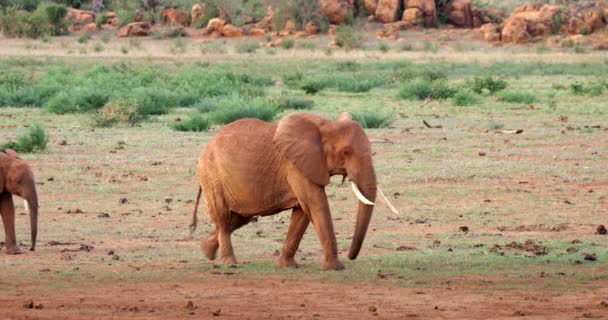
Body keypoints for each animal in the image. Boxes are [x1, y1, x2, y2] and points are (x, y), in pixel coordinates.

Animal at [190, 112, 396, 270]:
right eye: (346, 152)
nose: (351, 256)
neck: (326, 125)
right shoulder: (296, 166)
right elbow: (316, 204)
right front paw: (335, 268)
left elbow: (302, 212)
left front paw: (287, 266)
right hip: (212, 175)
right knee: (223, 216)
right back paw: (229, 263)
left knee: (239, 217)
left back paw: (205, 251)